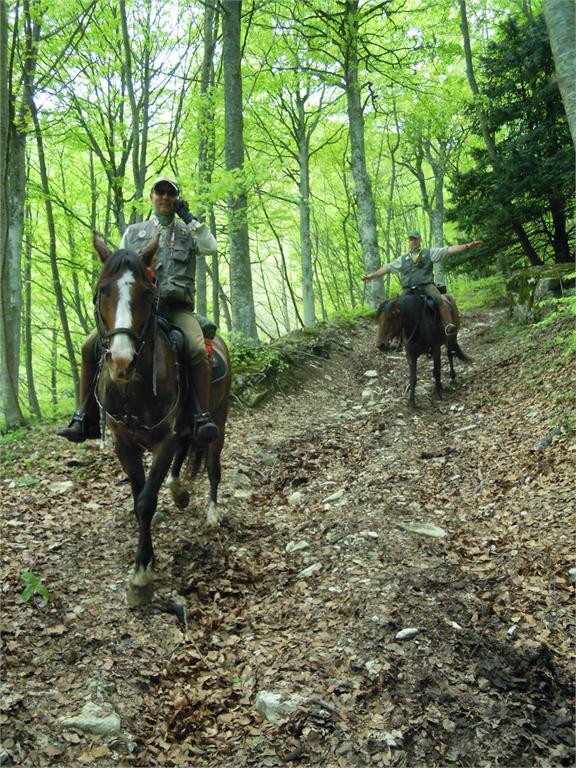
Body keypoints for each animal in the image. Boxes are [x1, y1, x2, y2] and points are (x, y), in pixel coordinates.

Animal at [91, 232, 232, 606]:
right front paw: (148, 561)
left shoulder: (164, 440)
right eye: (103, 290)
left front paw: (141, 576)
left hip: (219, 420)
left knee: (212, 465)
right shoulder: (124, 445)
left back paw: (212, 513)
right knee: (183, 456)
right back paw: (179, 490)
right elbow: (138, 495)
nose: (121, 360)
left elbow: (145, 501)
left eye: (145, 292)